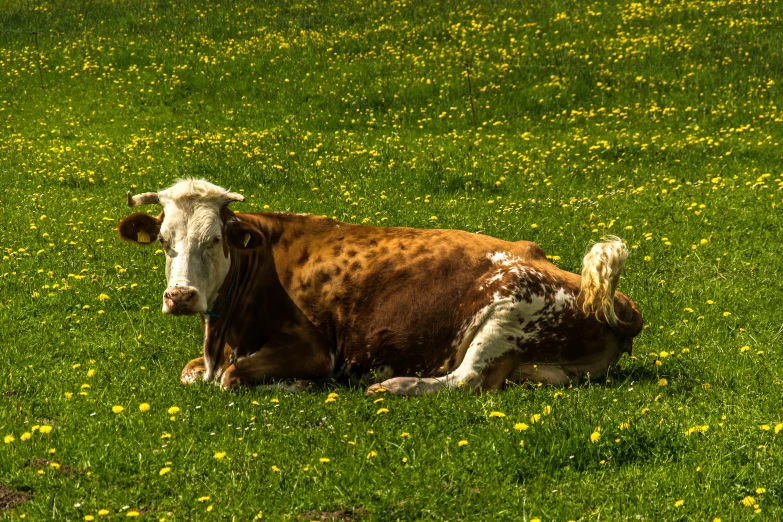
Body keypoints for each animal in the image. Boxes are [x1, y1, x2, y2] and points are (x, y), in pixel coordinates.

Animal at [118, 177, 644, 392]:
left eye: (214, 239)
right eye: (163, 241)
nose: (180, 296)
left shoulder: (314, 349)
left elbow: (231, 378)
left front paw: (298, 386)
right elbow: (192, 374)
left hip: (506, 307)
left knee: (465, 379)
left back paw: (390, 386)